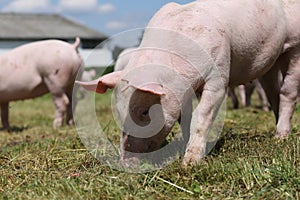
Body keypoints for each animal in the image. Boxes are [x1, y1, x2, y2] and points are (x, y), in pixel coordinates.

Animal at [78, 0, 300, 166]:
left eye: (144, 112)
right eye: (118, 112)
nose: (126, 161)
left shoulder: (218, 75)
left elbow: (201, 116)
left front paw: (189, 162)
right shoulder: (180, 92)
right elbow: (185, 118)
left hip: (295, 46)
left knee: (287, 92)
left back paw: (280, 137)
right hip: (270, 63)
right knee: (273, 93)